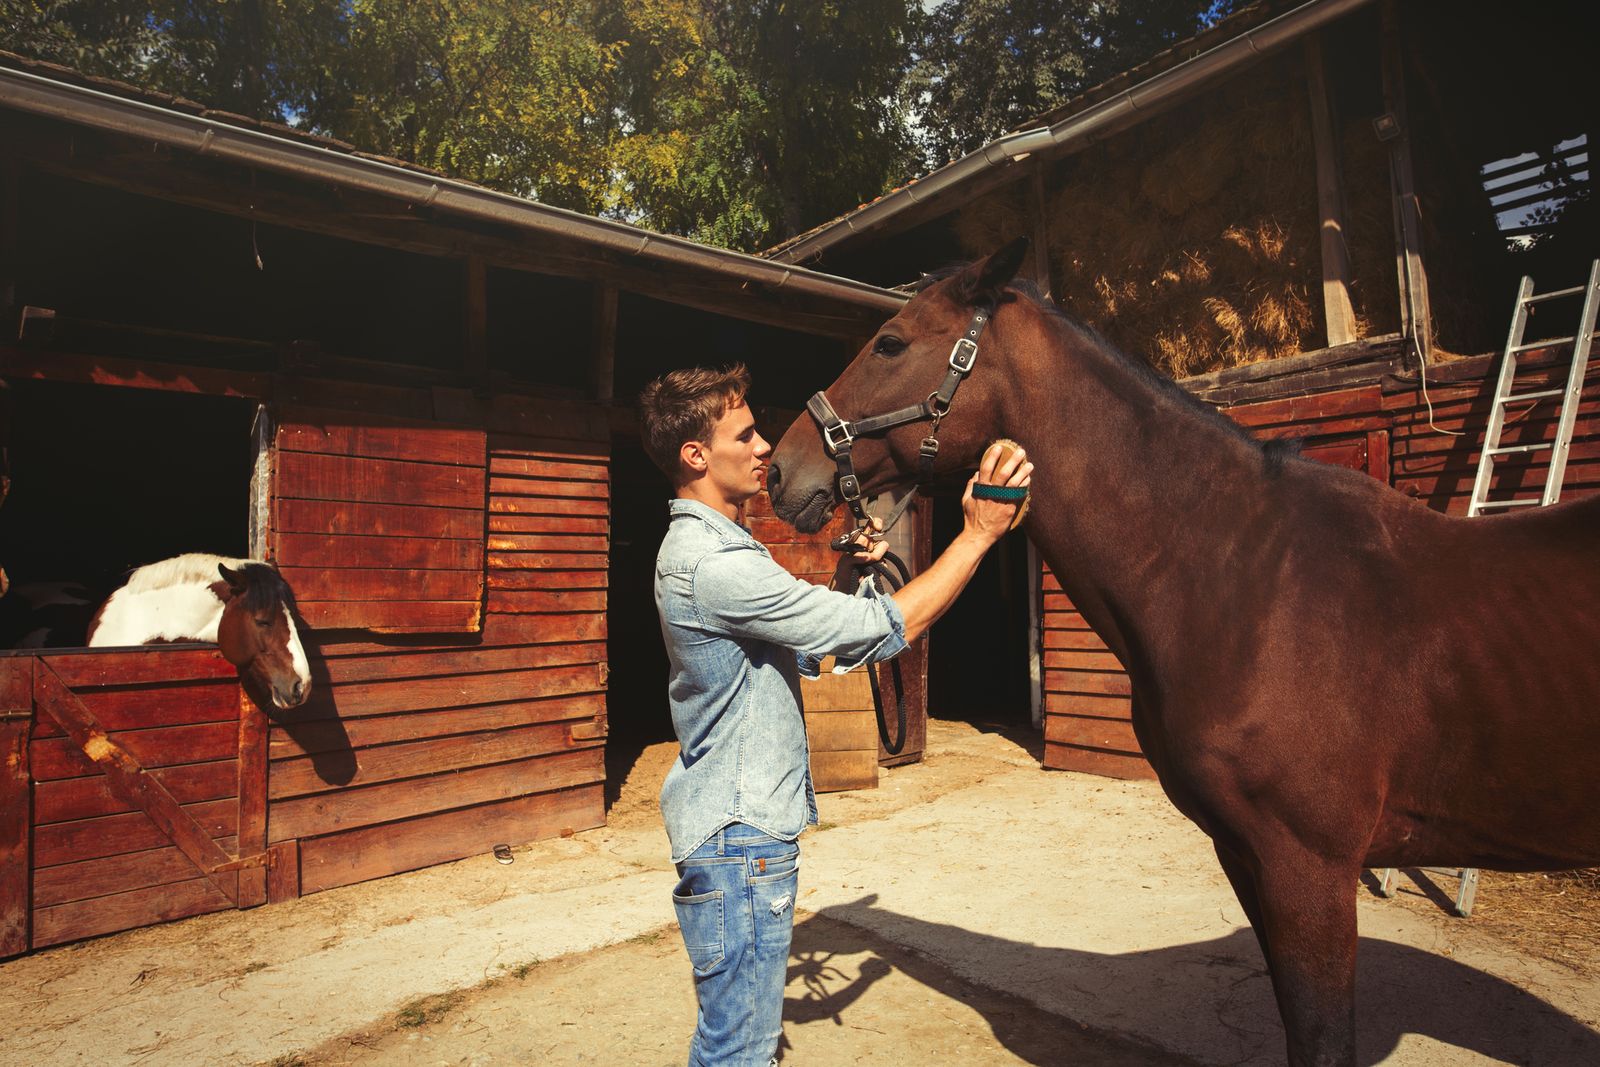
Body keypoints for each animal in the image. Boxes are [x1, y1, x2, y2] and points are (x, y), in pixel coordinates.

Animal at [764, 238, 1600, 1067]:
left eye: (890, 342)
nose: (779, 470)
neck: (1250, 580)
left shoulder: (1312, 868)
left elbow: (1322, 1035)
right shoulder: (1247, 853)